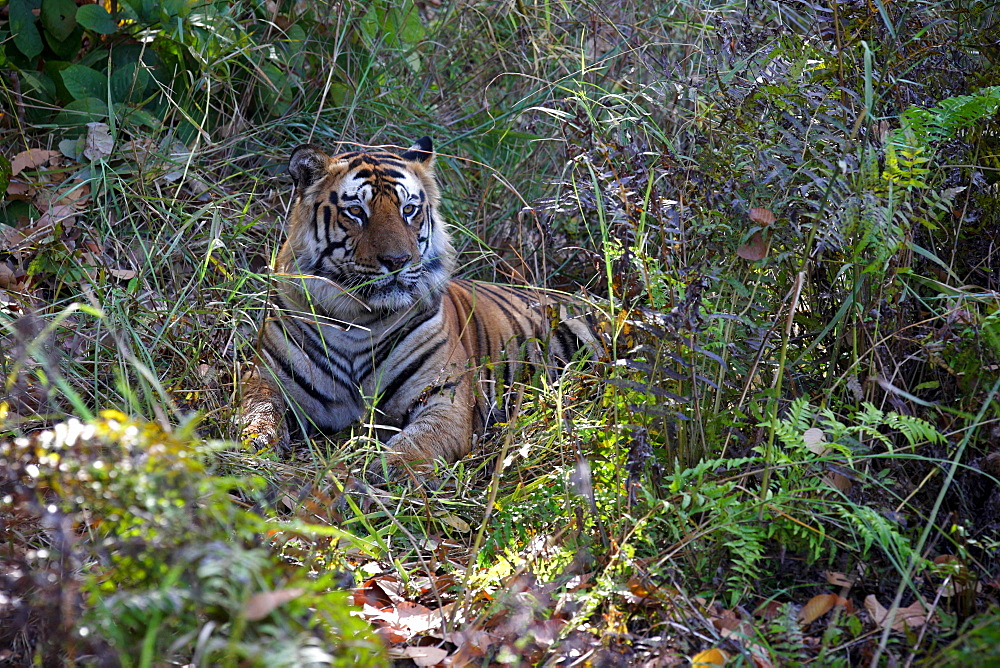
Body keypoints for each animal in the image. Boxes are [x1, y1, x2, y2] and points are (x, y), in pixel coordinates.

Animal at [240, 137, 600, 480]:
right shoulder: (264, 373)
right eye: (356, 211)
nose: (398, 260)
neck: (356, 319)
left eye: (409, 209)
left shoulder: (444, 395)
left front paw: (387, 472)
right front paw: (254, 440)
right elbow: (258, 408)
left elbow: (420, 440)